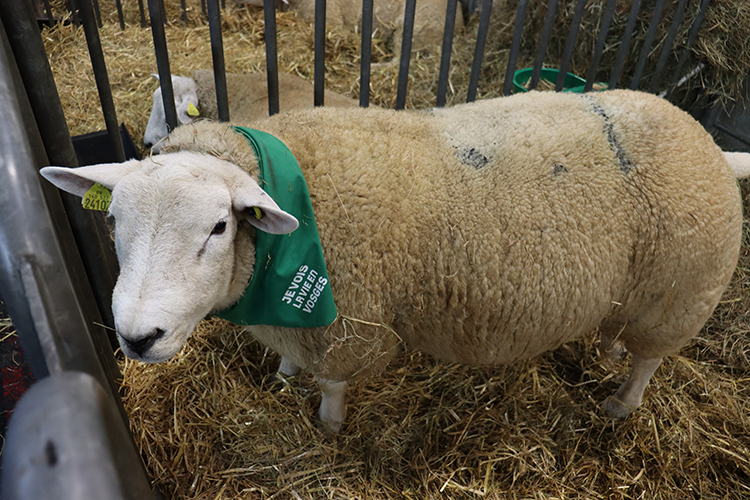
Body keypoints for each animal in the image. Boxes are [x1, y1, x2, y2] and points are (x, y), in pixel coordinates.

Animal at [42, 91, 750, 434]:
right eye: (113, 222)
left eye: (219, 227)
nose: (137, 338)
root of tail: (705, 138)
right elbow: (291, 360)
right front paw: (283, 376)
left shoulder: (346, 326)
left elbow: (332, 385)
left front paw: (328, 427)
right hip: (634, 292)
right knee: (619, 332)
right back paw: (606, 350)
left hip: (679, 294)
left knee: (651, 360)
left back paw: (620, 405)